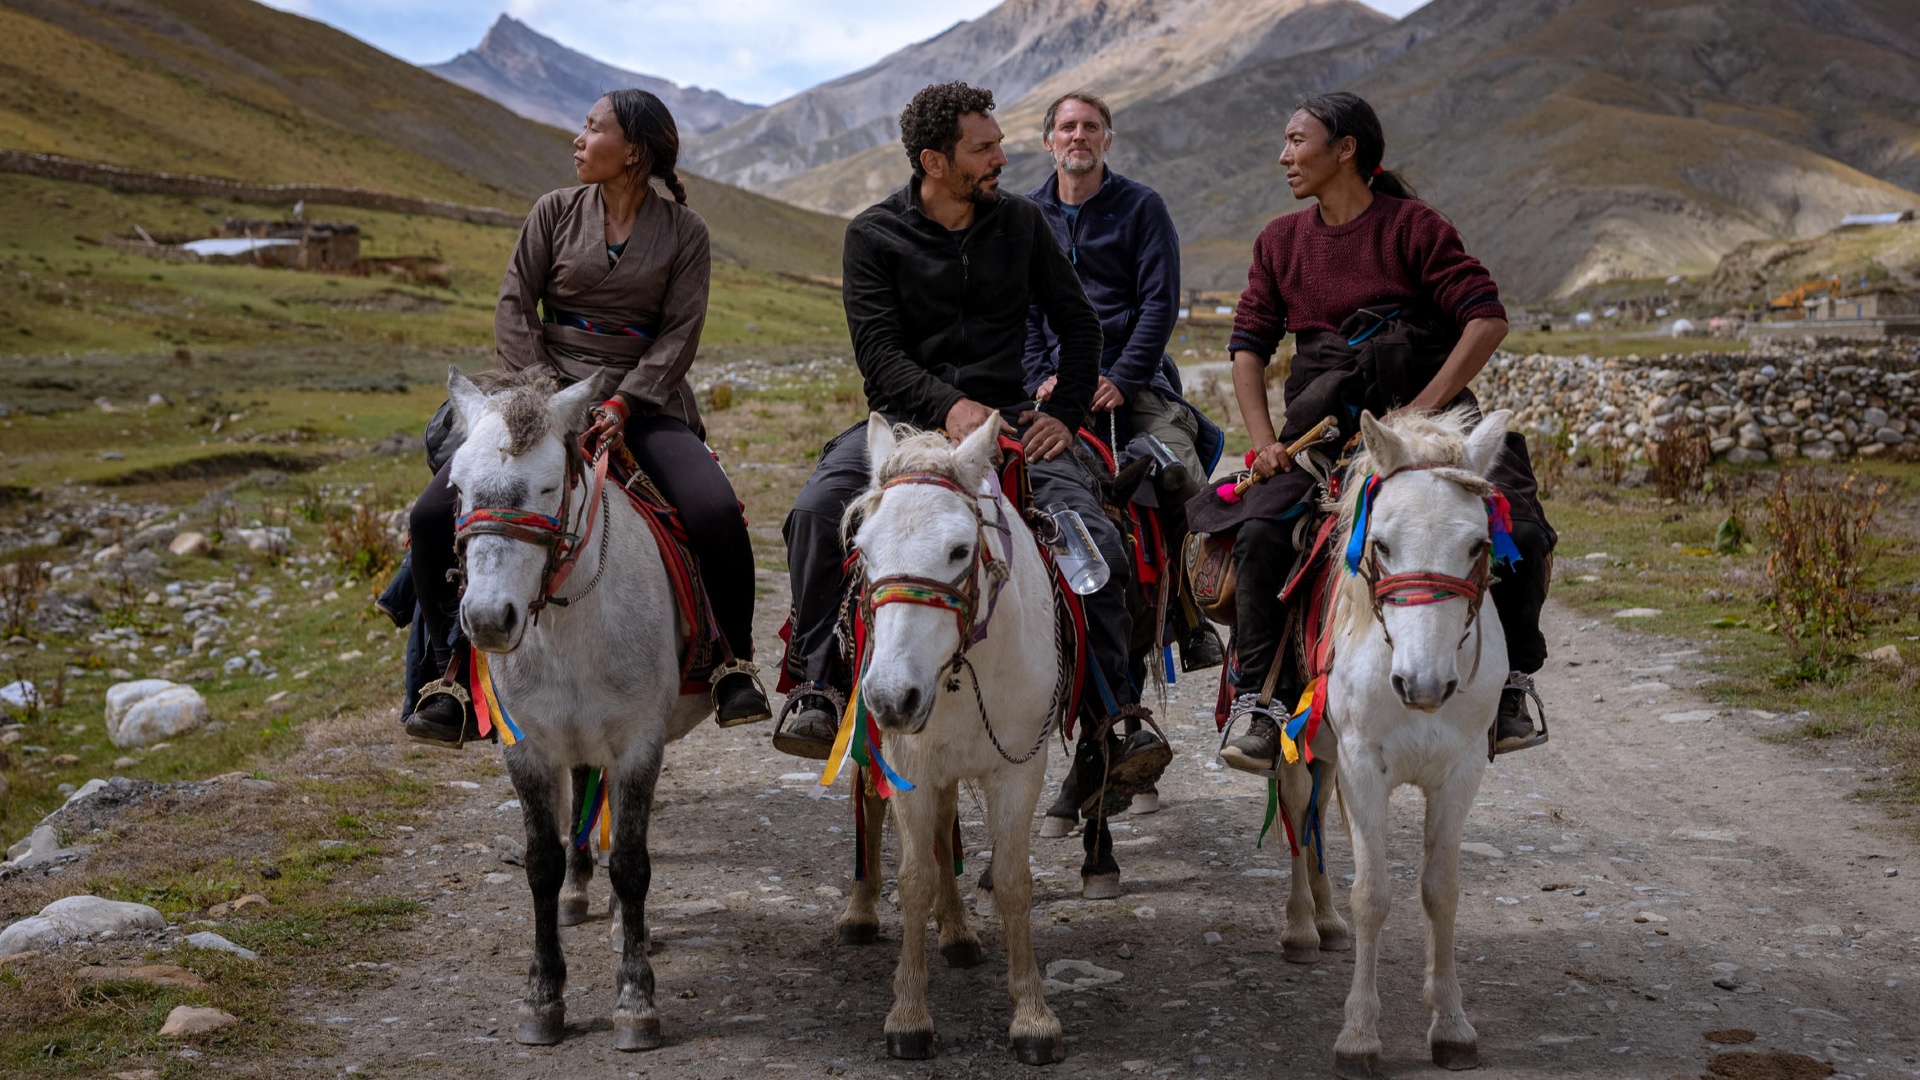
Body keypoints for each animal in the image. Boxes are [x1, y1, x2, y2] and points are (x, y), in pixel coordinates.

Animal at [445, 368, 710, 1053]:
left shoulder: (639, 742)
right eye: (456, 488)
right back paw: (578, 888)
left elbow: (634, 865)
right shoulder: (528, 748)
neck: (569, 628)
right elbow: (540, 861)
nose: (489, 620)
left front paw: (636, 1000)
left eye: (546, 486)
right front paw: (542, 997)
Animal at [840, 411, 1075, 1060]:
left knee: (946, 831)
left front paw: (1033, 1017)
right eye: (862, 550)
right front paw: (908, 1016)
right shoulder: (910, 765)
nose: (892, 696)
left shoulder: (1019, 769)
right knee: (870, 803)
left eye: (959, 549)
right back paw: (861, 913)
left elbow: (1014, 882)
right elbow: (913, 879)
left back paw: (958, 933)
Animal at [1320, 407, 1512, 1068]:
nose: (1423, 684)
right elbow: (1372, 894)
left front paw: (1451, 1023)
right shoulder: (1359, 765)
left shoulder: (1461, 772)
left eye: (1478, 544)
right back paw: (1307, 925)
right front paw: (1358, 1033)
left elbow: (1441, 892)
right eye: (1381, 543)